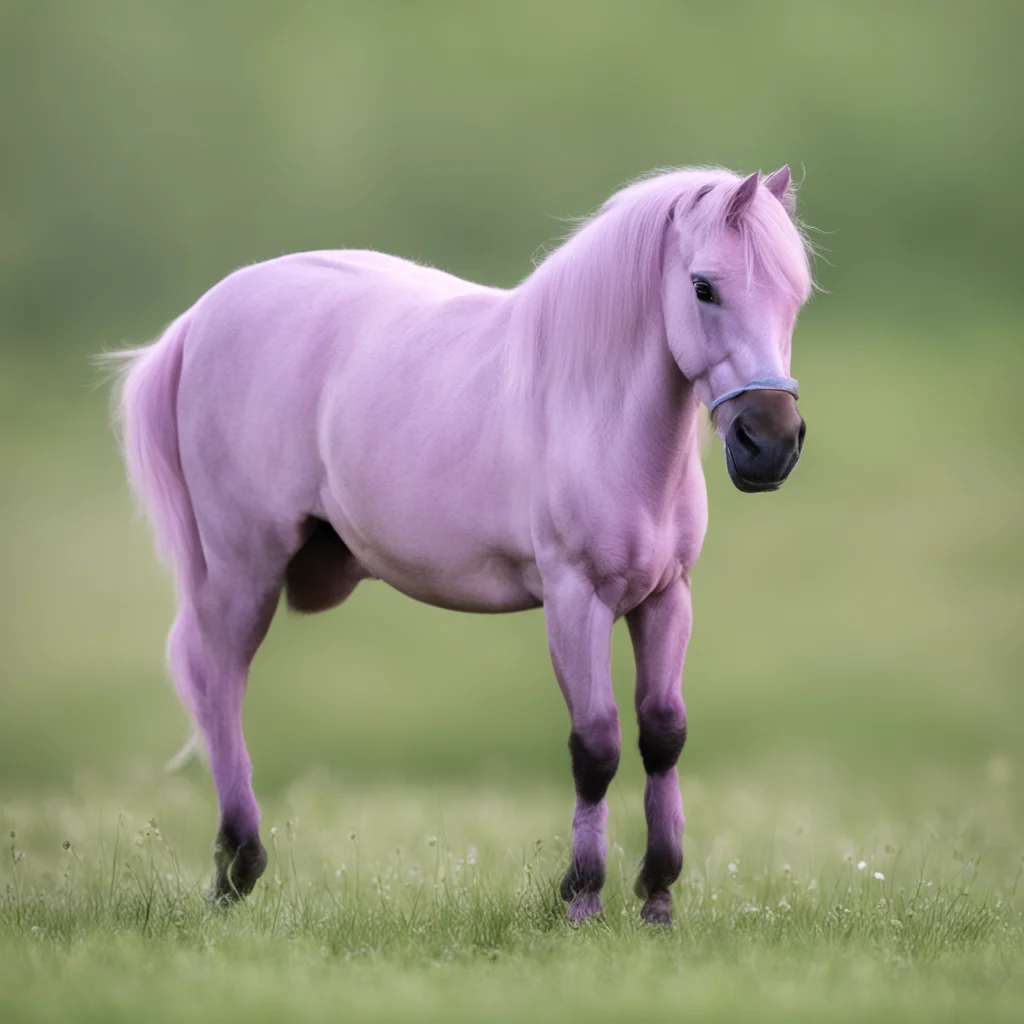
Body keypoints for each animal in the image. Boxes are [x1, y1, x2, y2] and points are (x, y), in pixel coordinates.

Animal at [110, 165, 811, 926]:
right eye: (704, 287)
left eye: (796, 293)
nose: (771, 443)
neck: (595, 411)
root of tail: (205, 315)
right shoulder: (574, 599)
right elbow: (595, 745)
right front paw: (581, 897)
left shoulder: (666, 596)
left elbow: (662, 734)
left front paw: (657, 899)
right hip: (243, 566)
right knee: (219, 684)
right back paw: (238, 867)